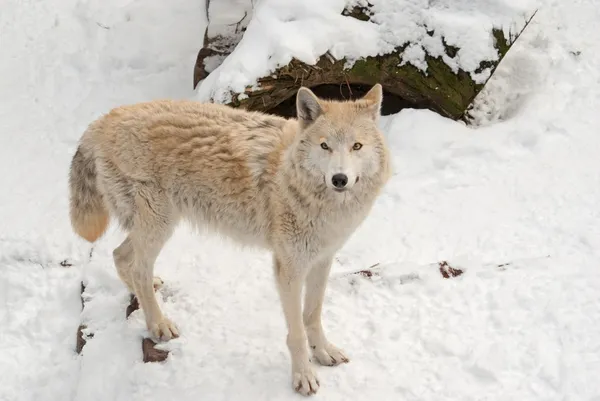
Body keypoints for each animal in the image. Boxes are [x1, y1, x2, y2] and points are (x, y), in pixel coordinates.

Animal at [68, 83, 392, 394]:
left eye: (356, 146)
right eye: (325, 146)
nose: (339, 179)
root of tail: (103, 119)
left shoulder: (322, 260)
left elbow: (313, 315)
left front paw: (324, 352)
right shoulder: (288, 269)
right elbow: (297, 332)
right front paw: (303, 377)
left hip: (156, 225)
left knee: (121, 257)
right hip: (160, 224)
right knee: (136, 267)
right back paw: (158, 324)